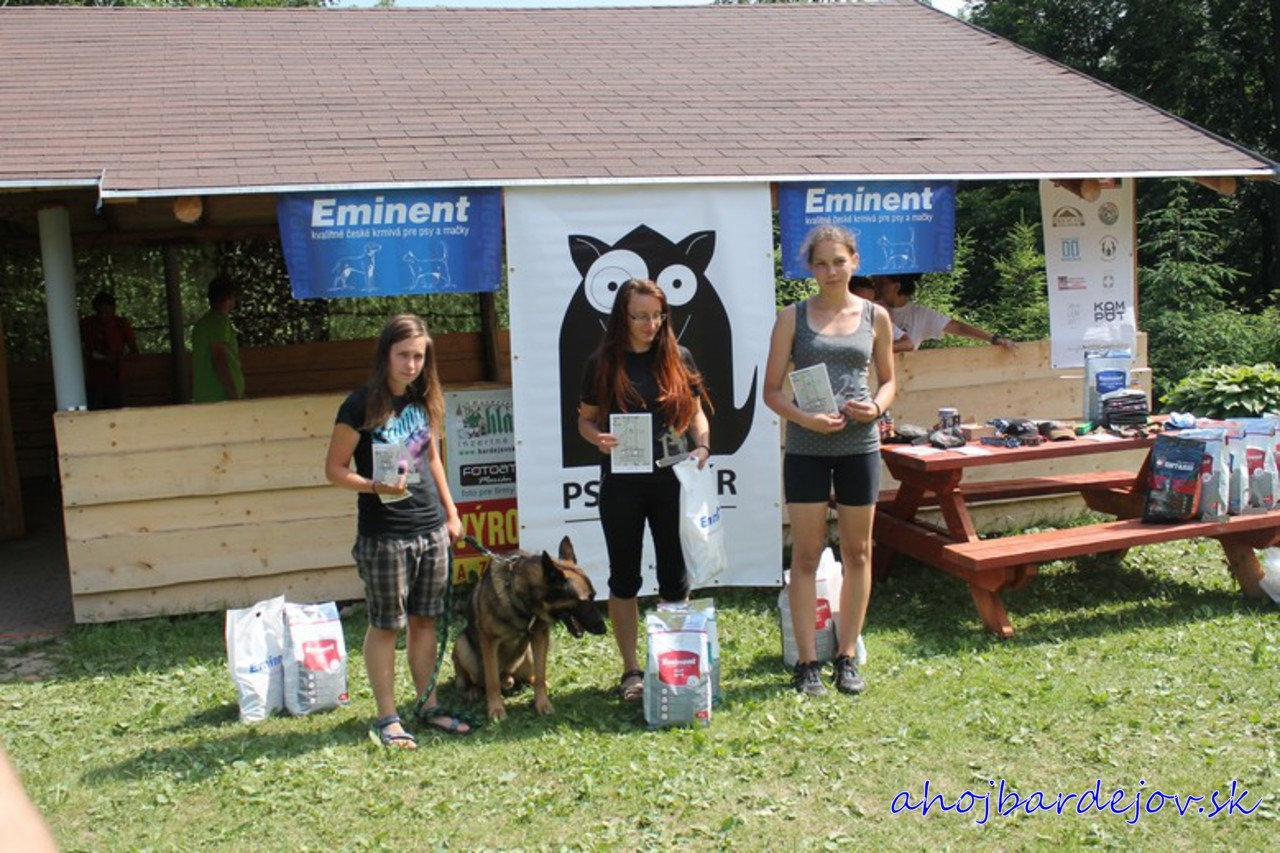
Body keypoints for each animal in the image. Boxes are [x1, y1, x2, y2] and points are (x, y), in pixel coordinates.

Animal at [452, 536, 606, 721]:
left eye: (594, 596)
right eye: (584, 600)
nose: (603, 628)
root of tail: (507, 675)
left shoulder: (540, 636)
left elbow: (540, 675)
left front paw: (542, 704)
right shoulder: (489, 641)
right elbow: (492, 682)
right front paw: (496, 709)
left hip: (530, 655)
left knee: (530, 677)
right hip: (462, 645)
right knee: (472, 680)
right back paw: (472, 690)